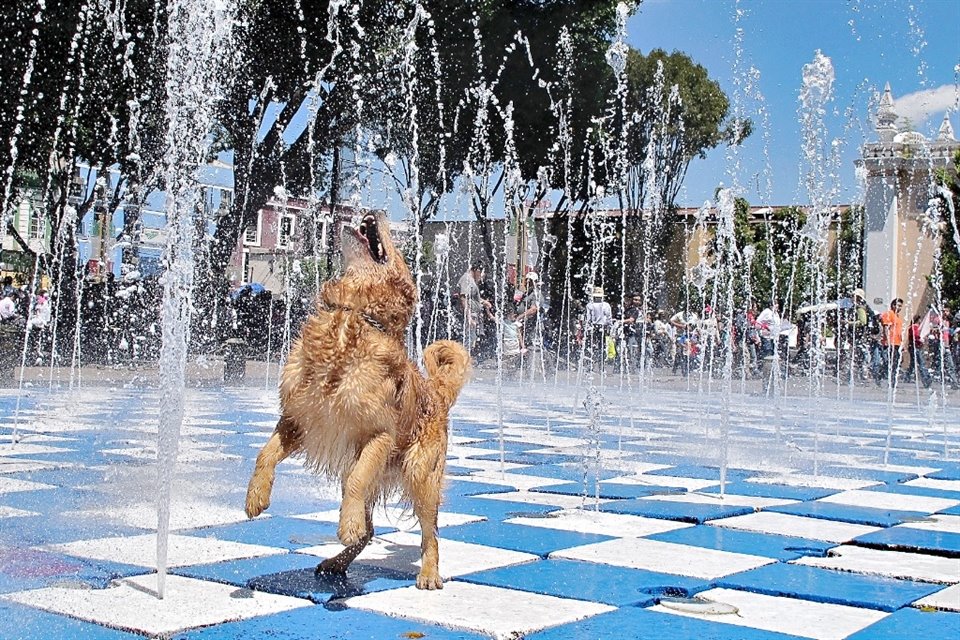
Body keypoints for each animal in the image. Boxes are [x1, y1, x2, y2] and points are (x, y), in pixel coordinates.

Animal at [244, 211, 468, 592]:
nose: (376, 211)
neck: (351, 315)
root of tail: (436, 394)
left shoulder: (378, 435)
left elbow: (357, 482)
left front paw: (347, 524)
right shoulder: (297, 420)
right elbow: (265, 453)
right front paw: (256, 496)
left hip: (420, 472)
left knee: (431, 532)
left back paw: (428, 573)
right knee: (372, 530)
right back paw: (337, 562)